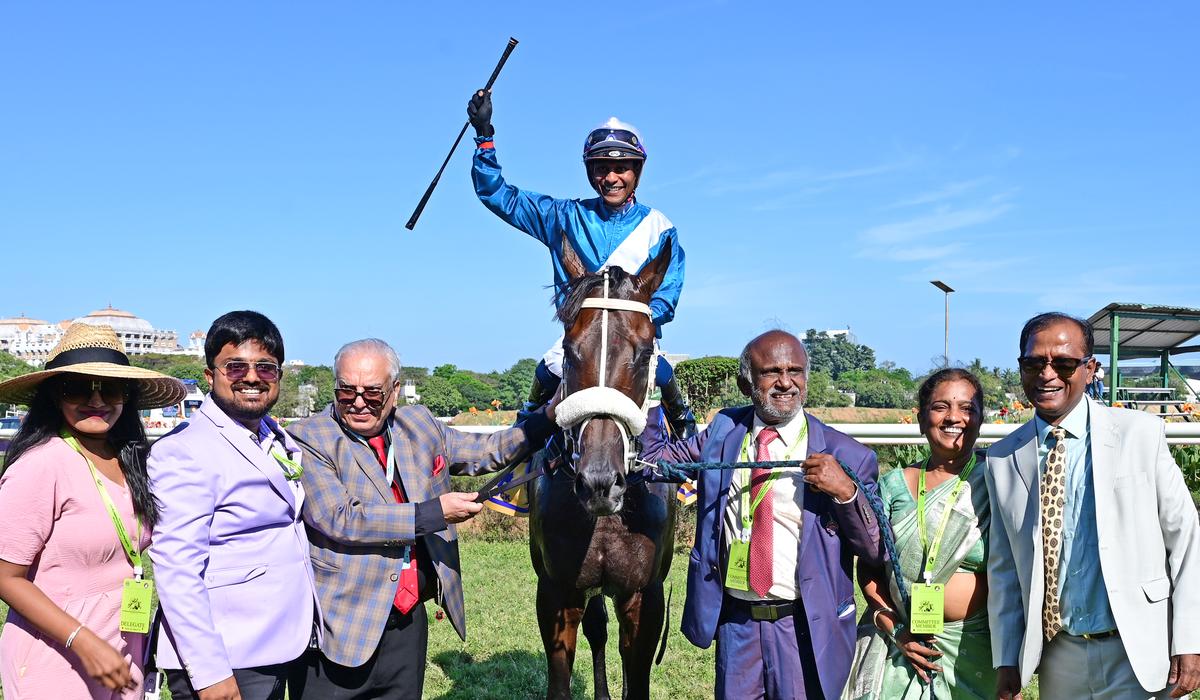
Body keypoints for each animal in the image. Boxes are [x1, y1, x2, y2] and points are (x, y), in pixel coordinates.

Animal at [530, 237, 681, 696]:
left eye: (646, 352)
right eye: (568, 349)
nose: (599, 482)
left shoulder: (644, 595)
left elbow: (638, 676)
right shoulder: (557, 591)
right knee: (597, 627)